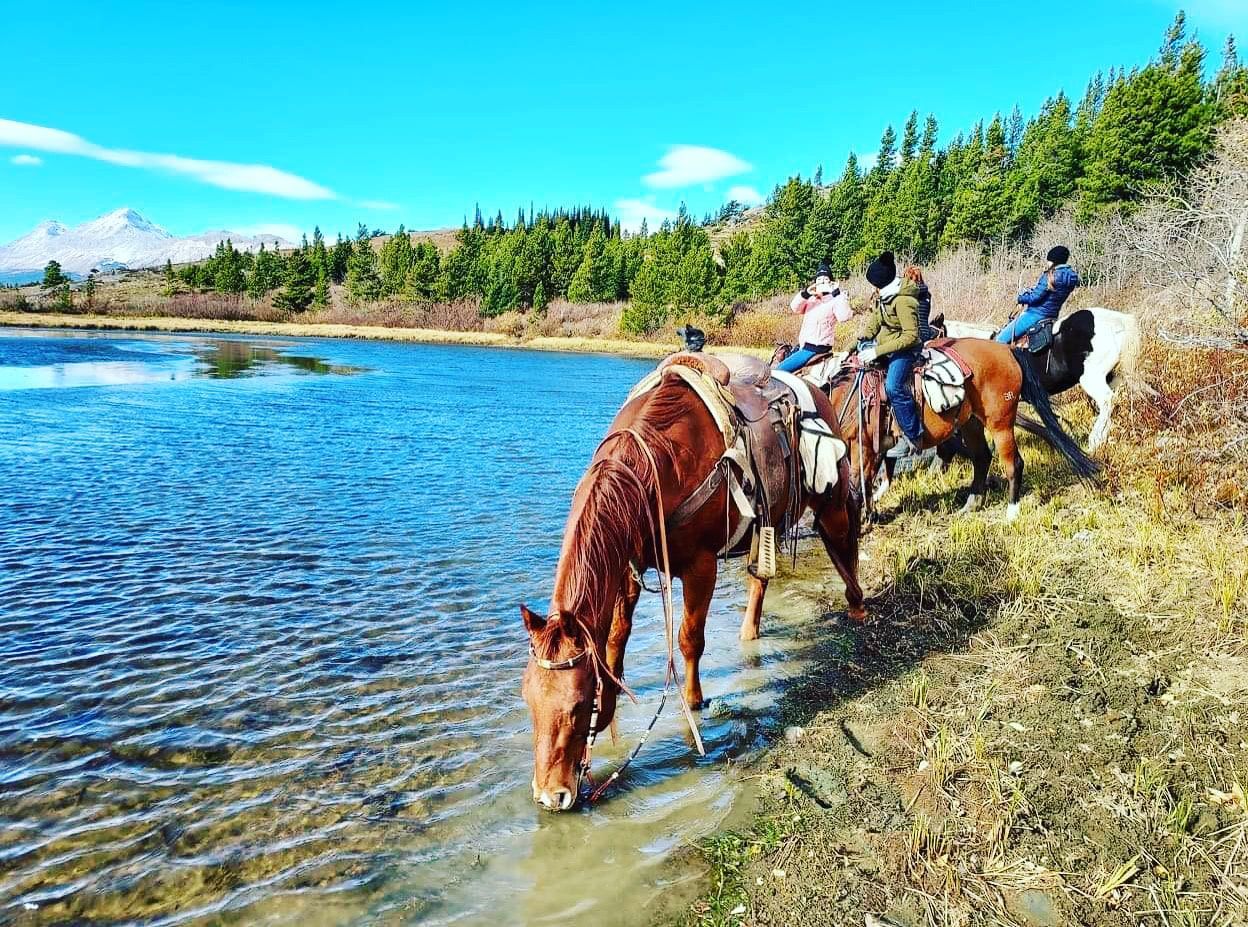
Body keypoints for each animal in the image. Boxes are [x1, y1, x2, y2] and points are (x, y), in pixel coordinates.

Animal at [521, 369, 863, 813]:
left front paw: (695, 701)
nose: (550, 795)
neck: (655, 469)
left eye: (579, 703)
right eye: (528, 700)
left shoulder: (701, 568)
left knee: (845, 544)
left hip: (830, 502)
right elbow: (615, 640)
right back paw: (749, 633)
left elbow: (689, 640)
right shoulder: (628, 569)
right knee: (761, 578)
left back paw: (858, 608)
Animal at [828, 339, 1103, 521]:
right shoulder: (871, 449)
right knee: (982, 458)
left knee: (1013, 463)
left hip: (1000, 423)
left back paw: (1011, 511)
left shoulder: (863, 446)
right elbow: (866, 480)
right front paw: (870, 513)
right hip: (971, 422)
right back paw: (971, 503)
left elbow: (858, 482)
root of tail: (1008, 350)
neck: (845, 399)